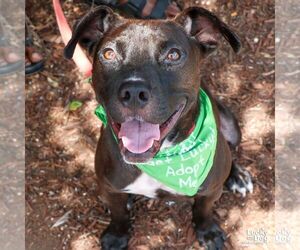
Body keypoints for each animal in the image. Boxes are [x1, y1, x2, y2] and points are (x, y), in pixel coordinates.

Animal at [65, 5, 253, 248]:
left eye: (173, 54)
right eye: (108, 54)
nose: (134, 92)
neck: (163, 159)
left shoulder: (210, 191)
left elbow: (203, 210)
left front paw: (208, 231)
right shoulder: (109, 188)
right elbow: (118, 214)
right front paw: (117, 235)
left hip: (231, 127)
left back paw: (237, 176)